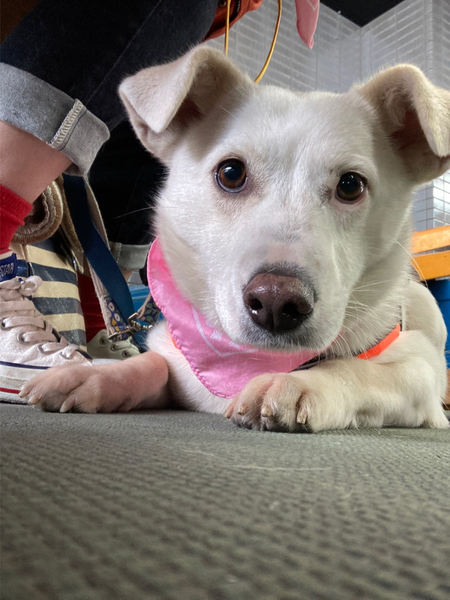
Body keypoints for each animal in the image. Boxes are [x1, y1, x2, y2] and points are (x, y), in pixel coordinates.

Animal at [21, 47, 450, 432]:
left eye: (350, 185)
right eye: (231, 173)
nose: (276, 302)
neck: (247, 359)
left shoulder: (420, 369)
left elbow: (357, 369)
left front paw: (298, 381)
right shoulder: (177, 356)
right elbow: (153, 363)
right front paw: (97, 374)